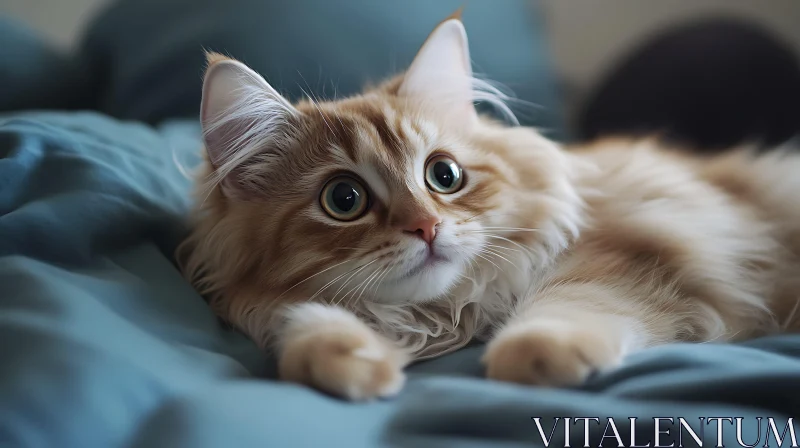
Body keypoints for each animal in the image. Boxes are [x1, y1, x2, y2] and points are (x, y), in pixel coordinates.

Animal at [178, 14, 800, 400]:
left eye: (444, 175)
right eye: (344, 199)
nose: (427, 227)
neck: (448, 314)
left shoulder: (622, 259)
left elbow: (572, 302)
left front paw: (538, 353)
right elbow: (302, 320)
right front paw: (344, 358)